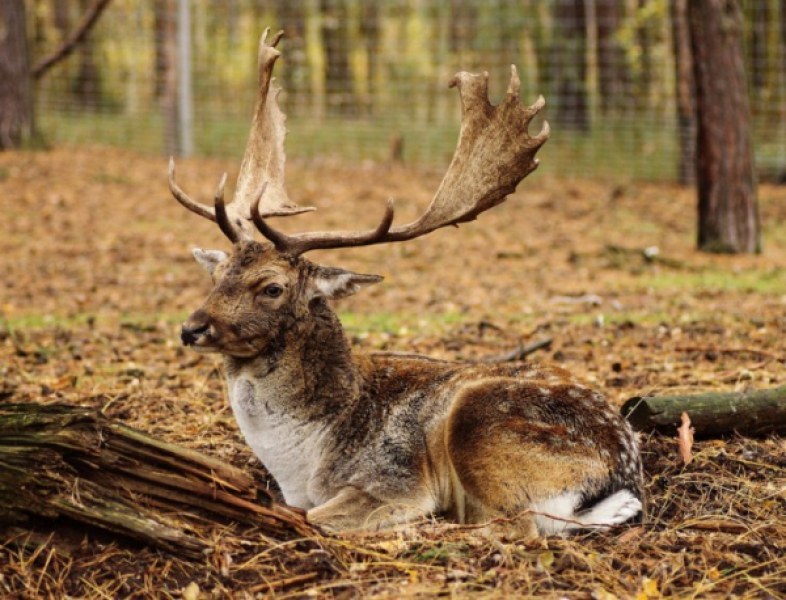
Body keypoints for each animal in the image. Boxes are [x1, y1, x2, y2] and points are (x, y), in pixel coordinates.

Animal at [167, 30, 644, 536]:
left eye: (271, 287)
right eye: (217, 274)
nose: (191, 328)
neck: (301, 460)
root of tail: (622, 474)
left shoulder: (393, 480)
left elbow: (314, 517)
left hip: (479, 422)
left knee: (515, 527)